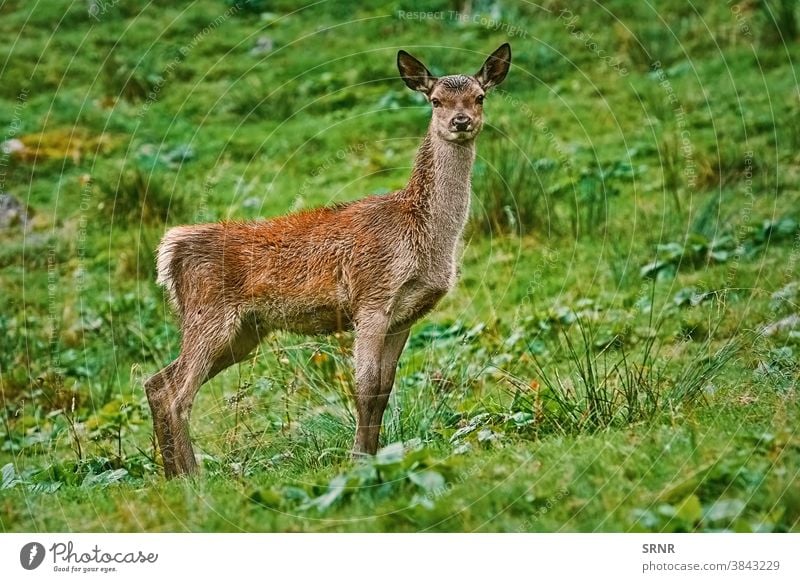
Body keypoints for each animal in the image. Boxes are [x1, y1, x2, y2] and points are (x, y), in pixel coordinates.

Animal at [144, 42, 512, 480]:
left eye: (480, 96)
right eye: (435, 100)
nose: (460, 121)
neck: (424, 237)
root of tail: (170, 252)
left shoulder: (405, 315)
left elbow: (384, 390)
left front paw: (372, 455)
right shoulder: (372, 298)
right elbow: (365, 388)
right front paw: (357, 462)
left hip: (243, 331)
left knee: (157, 382)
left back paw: (174, 477)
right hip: (210, 315)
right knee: (177, 394)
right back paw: (192, 478)